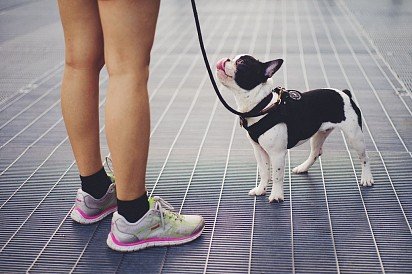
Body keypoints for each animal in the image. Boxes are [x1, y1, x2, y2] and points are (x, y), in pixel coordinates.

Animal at [216, 54, 374, 202]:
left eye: (241, 62)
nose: (227, 59)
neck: (261, 105)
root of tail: (344, 93)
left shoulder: (277, 154)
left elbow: (277, 175)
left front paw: (276, 195)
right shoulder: (259, 151)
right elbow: (264, 171)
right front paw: (261, 189)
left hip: (354, 136)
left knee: (364, 157)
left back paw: (366, 178)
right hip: (318, 134)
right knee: (315, 152)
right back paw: (303, 168)